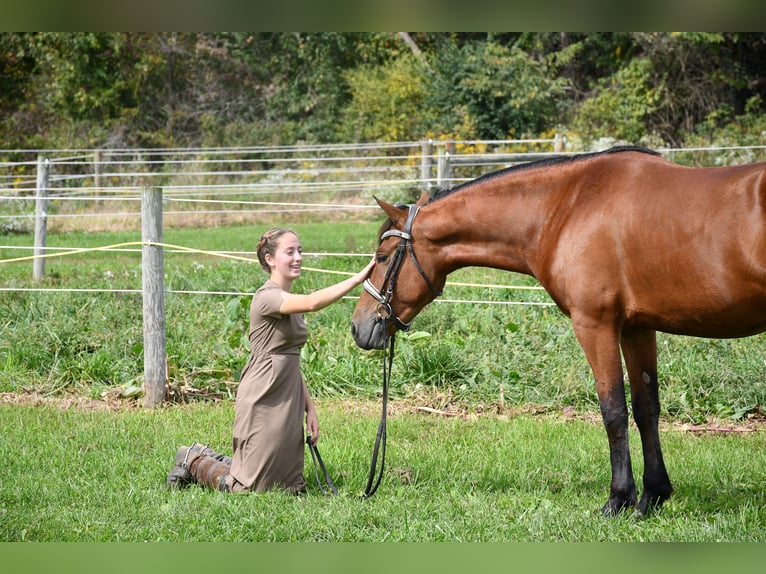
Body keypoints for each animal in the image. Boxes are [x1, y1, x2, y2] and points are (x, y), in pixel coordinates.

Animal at [350, 146, 766, 516]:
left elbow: (613, 410)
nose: (359, 326)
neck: (567, 208)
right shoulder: (636, 329)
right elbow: (646, 409)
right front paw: (652, 497)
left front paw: (618, 499)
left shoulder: (595, 324)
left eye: (383, 258)